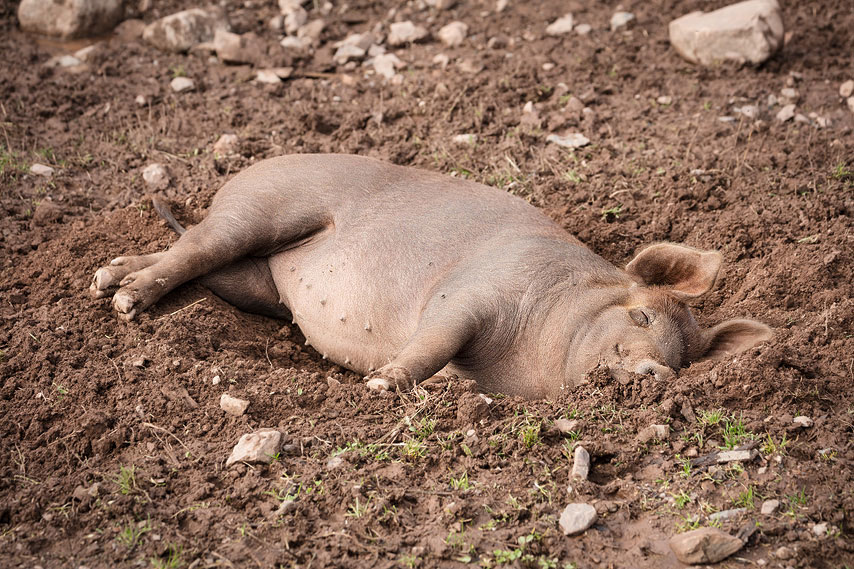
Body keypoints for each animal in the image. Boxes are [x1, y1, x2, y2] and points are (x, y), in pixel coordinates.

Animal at [90, 154, 771, 398]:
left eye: (683, 358)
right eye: (640, 314)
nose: (657, 371)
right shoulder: (470, 292)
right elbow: (437, 339)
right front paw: (381, 385)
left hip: (256, 281)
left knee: (198, 262)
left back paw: (106, 278)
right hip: (261, 208)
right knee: (198, 246)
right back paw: (121, 300)